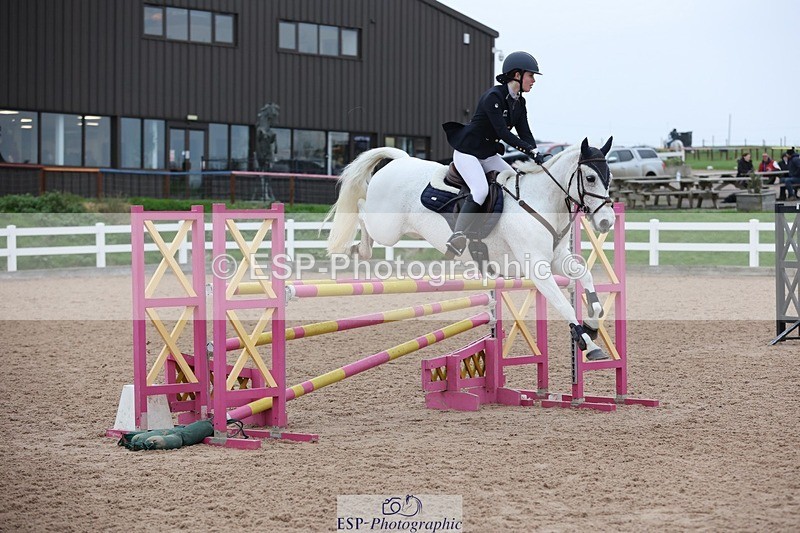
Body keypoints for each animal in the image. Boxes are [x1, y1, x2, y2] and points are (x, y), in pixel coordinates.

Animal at [325, 138, 616, 360]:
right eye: (590, 178)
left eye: (609, 177)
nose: (606, 222)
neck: (539, 201)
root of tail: (399, 160)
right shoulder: (538, 269)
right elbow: (564, 306)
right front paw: (590, 345)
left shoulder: (558, 259)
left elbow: (586, 279)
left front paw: (592, 324)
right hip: (386, 228)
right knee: (361, 209)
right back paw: (354, 249)